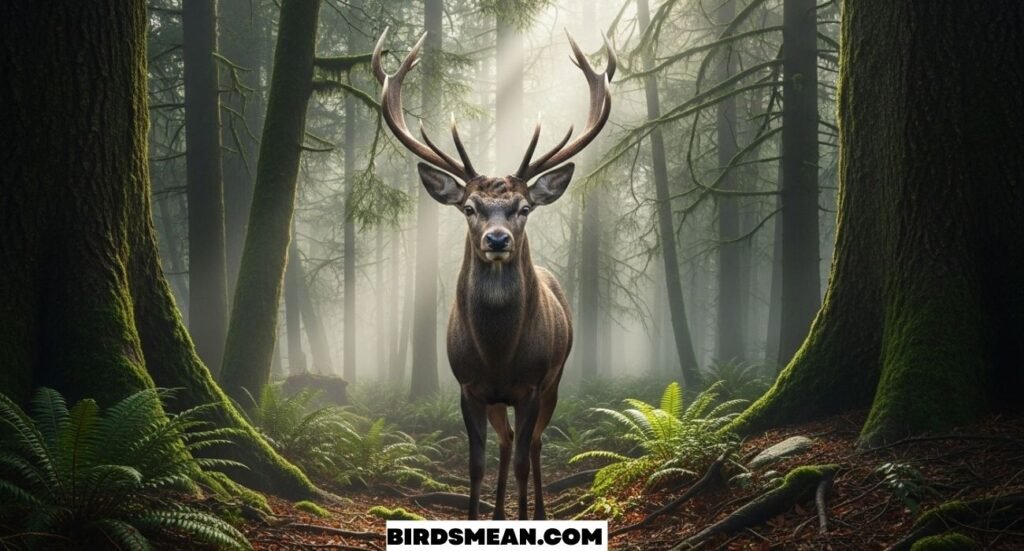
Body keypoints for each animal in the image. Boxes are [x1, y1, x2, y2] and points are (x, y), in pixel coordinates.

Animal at [371, 29, 614, 520]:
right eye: (469, 207)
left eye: (523, 208)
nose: (498, 240)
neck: (499, 353)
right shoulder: (468, 386)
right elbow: (476, 463)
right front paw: (478, 516)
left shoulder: (532, 385)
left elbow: (524, 458)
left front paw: (526, 517)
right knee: (506, 442)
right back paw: (500, 512)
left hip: (558, 377)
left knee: (534, 444)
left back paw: (537, 513)